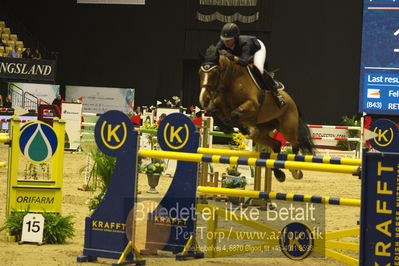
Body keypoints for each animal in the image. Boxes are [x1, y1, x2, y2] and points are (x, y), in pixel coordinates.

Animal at [198, 47, 314, 182]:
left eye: (214, 73)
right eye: (199, 73)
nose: (203, 100)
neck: (231, 81)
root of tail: (292, 102)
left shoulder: (252, 105)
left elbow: (234, 114)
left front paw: (242, 129)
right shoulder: (220, 107)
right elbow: (214, 112)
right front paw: (227, 128)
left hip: (287, 129)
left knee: (295, 144)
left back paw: (295, 170)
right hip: (260, 134)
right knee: (276, 144)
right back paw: (278, 173)